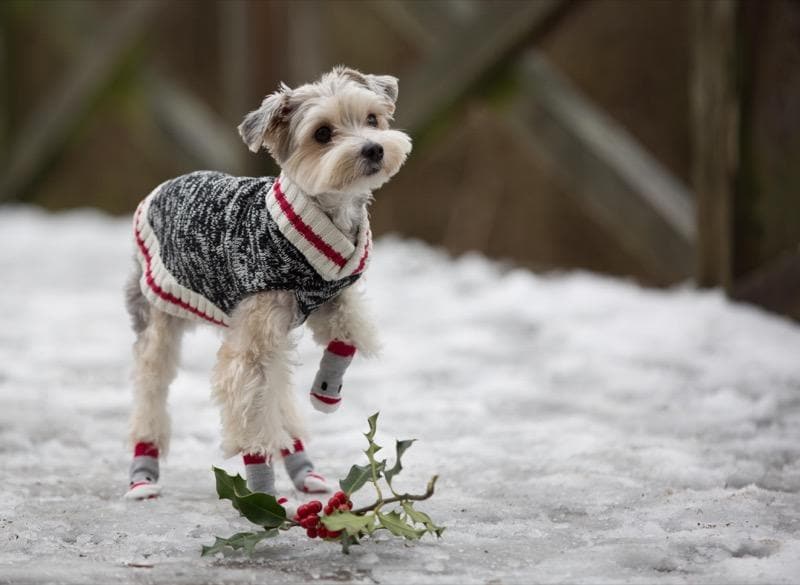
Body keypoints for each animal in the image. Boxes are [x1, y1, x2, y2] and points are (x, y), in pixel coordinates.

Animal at [126, 65, 412, 502]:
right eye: (323, 134)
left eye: (372, 119)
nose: (374, 149)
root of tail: (162, 187)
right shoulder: (253, 340)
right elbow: (250, 414)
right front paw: (262, 490)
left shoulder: (333, 298)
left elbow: (345, 337)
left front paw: (326, 391)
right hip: (157, 312)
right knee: (151, 387)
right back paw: (143, 473)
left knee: (278, 390)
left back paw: (304, 468)